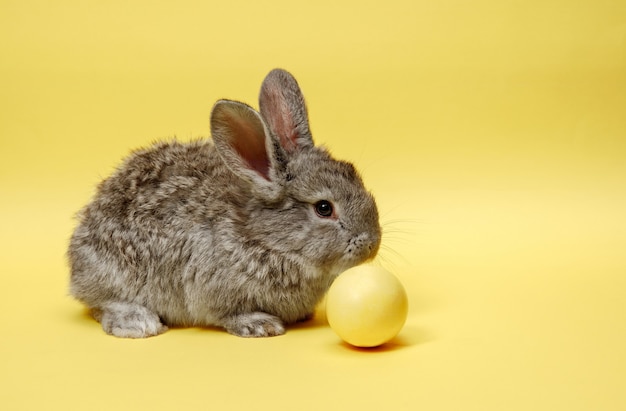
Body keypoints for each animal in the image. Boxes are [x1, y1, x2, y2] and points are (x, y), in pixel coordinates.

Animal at [68, 68, 380, 338]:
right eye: (324, 208)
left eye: (353, 173)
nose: (371, 243)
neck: (267, 240)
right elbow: (226, 314)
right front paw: (259, 325)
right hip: (115, 273)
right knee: (102, 303)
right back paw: (137, 323)